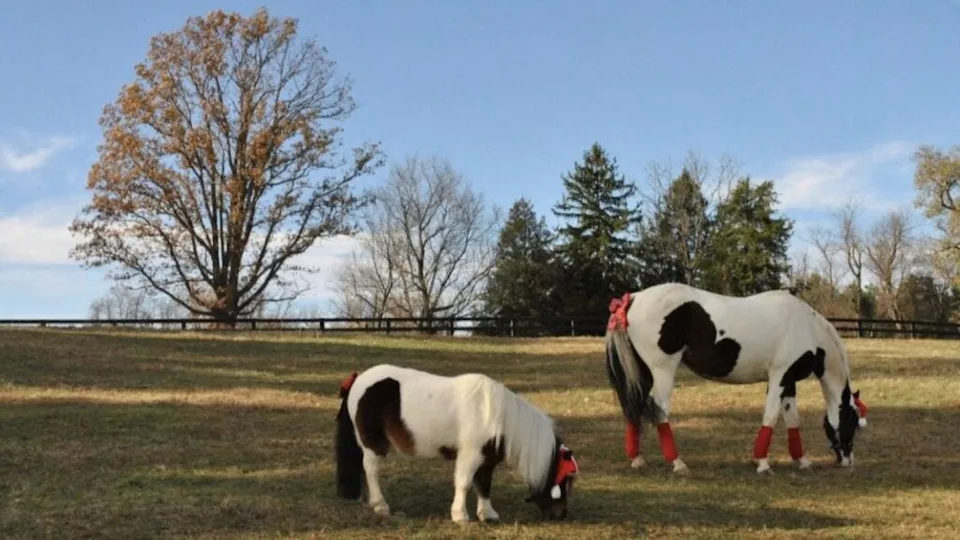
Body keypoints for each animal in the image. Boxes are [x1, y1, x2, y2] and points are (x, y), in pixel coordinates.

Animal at [335, 363, 580, 523]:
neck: (495, 414)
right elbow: (464, 483)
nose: (561, 515)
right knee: (371, 469)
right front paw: (460, 516)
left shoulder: (487, 459)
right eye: (564, 479)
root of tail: (358, 380)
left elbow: (484, 485)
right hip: (373, 443)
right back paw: (380, 505)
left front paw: (487, 514)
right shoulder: (470, 455)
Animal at [603, 282, 869, 475]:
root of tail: (633, 299)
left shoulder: (789, 381)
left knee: (634, 407)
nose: (848, 460)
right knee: (659, 409)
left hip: (643, 372)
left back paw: (638, 459)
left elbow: (792, 418)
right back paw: (677, 463)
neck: (807, 328)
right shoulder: (779, 376)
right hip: (663, 370)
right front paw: (762, 463)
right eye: (852, 421)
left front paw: (802, 460)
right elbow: (771, 416)